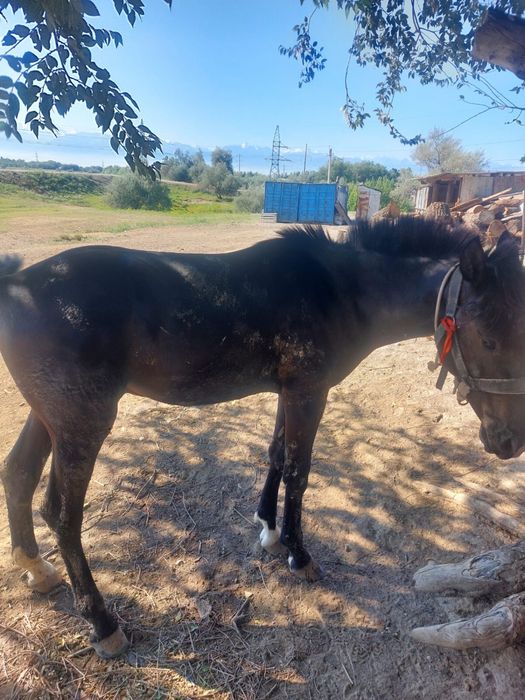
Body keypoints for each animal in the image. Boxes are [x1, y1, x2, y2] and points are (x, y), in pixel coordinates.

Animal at [0, 218, 520, 658]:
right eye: (490, 341)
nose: (509, 443)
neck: (342, 290)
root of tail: (16, 285)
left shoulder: (288, 391)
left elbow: (274, 455)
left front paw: (268, 530)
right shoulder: (309, 392)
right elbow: (298, 470)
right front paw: (298, 554)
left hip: (49, 418)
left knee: (18, 473)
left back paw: (36, 569)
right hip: (81, 424)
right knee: (61, 515)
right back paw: (103, 624)